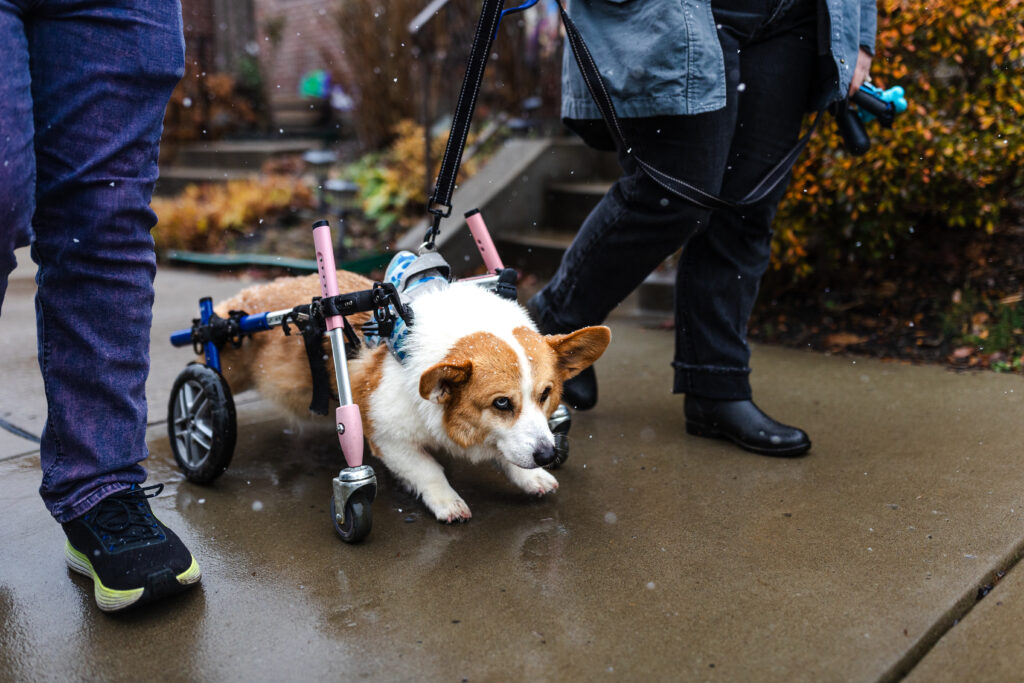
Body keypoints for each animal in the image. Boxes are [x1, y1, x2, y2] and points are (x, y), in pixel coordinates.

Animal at [209, 270, 606, 520]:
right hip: (227, 362)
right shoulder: (387, 436)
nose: (548, 455)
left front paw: (532, 477)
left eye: (546, 394)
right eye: (502, 403)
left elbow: (509, 454)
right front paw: (448, 503)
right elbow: (427, 470)